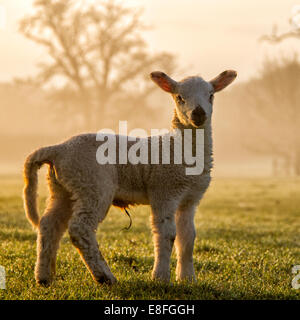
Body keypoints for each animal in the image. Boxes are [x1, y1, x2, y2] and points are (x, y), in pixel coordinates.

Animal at [22, 69, 237, 284]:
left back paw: (43, 277)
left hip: (64, 187)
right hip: (93, 185)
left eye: (211, 95)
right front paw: (160, 277)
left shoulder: (190, 199)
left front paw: (187, 279)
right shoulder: (164, 191)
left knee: (49, 225)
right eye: (179, 97)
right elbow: (166, 234)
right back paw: (105, 277)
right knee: (79, 229)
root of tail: (59, 149)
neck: (176, 145)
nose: (198, 113)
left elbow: (187, 237)